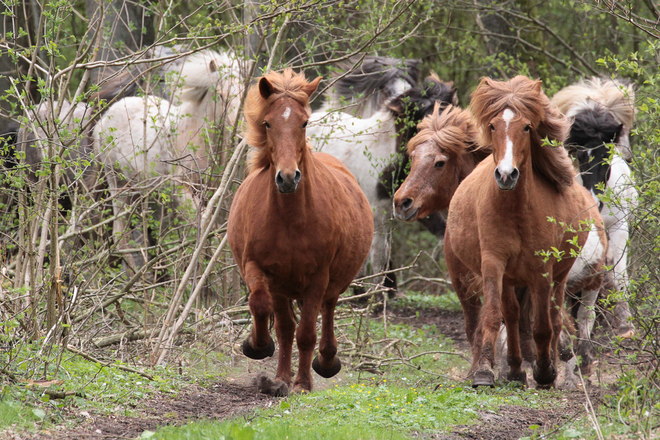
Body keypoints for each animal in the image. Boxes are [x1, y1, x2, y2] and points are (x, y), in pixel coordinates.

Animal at [95, 49, 242, 270]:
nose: (241, 134)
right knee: (120, 236)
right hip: (118, 183)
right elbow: (200, 227)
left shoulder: (210, 192)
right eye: (221, 95)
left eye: (243, 92)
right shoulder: (182, 190)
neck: (192, 134)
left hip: (139, 190)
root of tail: (104, 118)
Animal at [226, 69, 372, 396]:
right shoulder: (263, 271)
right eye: (268, 123)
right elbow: (266, 311)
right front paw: (261, 352)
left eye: (304, 122)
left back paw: (326, 363)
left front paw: (303, 383)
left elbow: (306, 333)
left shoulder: (317, 278)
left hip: (331, 283)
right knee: (286, 324)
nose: (288, 178)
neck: (290, 220)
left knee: (327, 312)